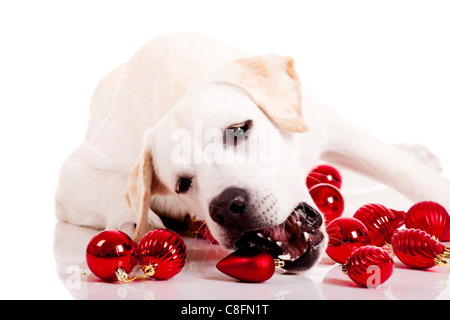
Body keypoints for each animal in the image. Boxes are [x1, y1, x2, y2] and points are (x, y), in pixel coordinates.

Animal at [53, 32, 450, 272]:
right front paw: (137, 222)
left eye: (238, 130)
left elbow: (401, 169)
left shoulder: (327, 125)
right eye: (182, 184)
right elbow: (110, 188)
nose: (227, 206)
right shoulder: (74, 176)